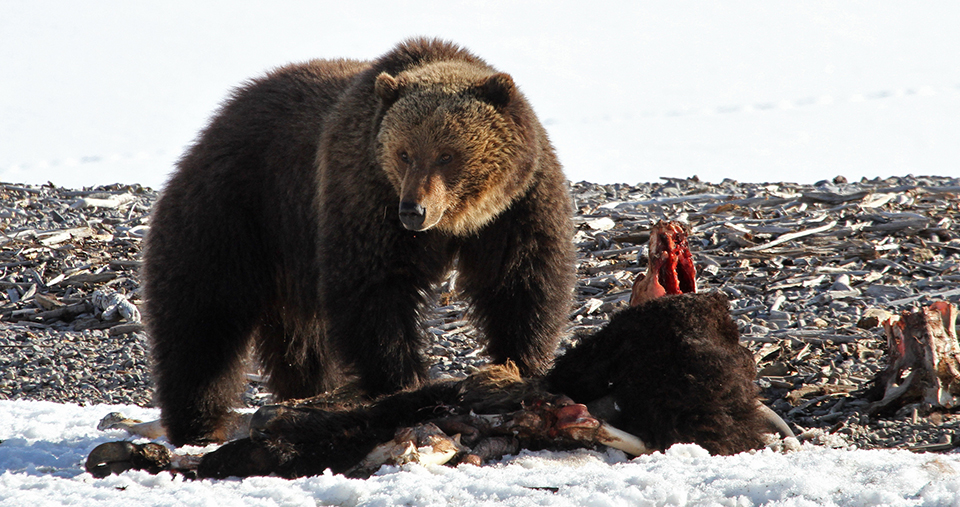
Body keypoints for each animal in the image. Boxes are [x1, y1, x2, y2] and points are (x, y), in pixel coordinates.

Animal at [142, 38, 576, 447]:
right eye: (404, 153)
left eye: (447, 155)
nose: (414, 210)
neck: (459, 221)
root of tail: (219, 119)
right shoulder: (365, 194)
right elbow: (373, 289)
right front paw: (402, 382)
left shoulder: (518, 206)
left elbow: (521, 281)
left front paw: (516, 366)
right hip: (238, 209)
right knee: (202, 318)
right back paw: (199, 423)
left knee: (302, 342)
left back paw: (307, 392)